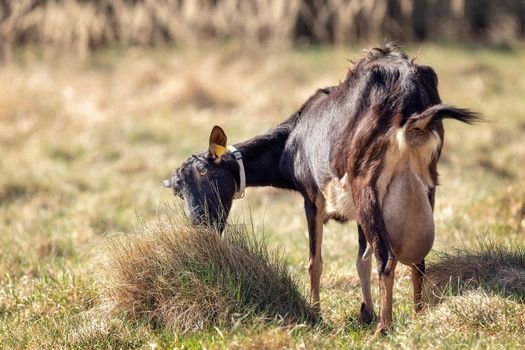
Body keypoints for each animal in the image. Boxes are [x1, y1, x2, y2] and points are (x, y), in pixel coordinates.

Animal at [164, 45, 478, 334]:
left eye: (209, 175)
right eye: (179, 190)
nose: (201, 224)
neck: (292, 138)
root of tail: (408, 91)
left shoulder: (312, 198)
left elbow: (315, 260)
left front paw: (316, 314)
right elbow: (360, 260)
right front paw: (365, 312)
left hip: (367, 186)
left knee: (386, 258)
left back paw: (384, 328)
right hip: (424, 185)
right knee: (417, 260)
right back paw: (418, 315)